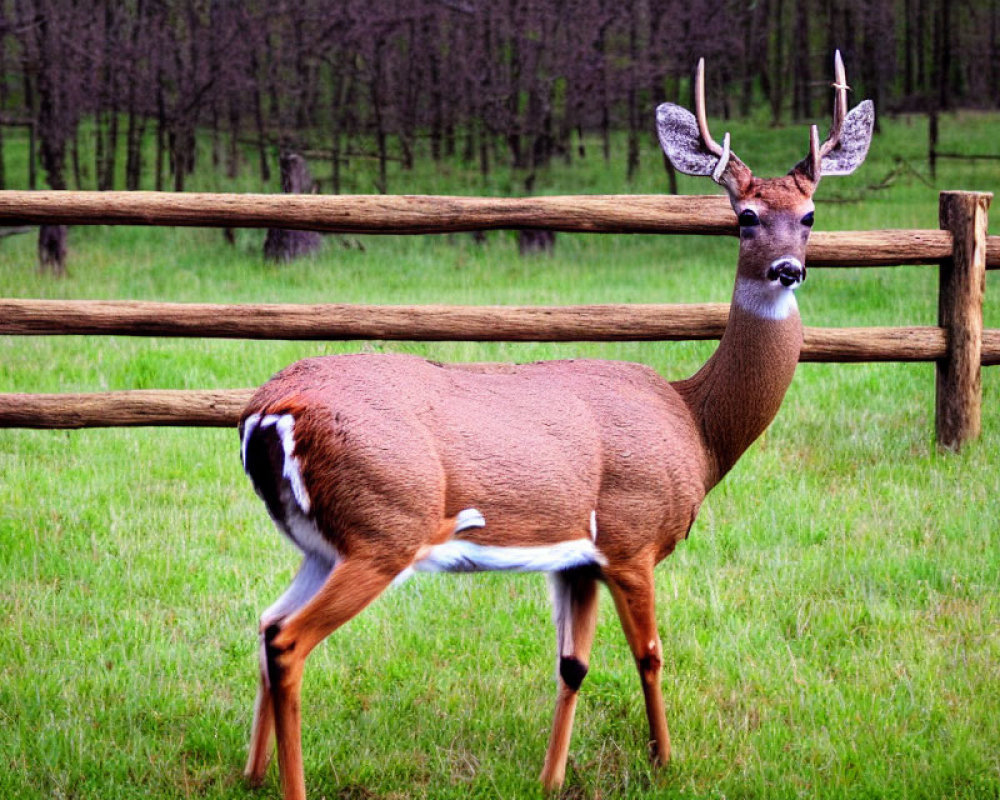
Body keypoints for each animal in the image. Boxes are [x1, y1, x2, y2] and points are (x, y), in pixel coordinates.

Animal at [238, 51, 872, 800]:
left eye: (810, 214)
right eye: (744, 216)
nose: (787, 268)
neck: (696, 426)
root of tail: (268, 413)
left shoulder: (578, 557)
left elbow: (573, 664)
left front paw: (551, 777)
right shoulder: (631, 535)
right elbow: (651, 653)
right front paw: (664, 759)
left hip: (320, 543)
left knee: (265, 623)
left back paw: (250, 772)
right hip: (384, 527)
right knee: (288, 640)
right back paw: (290, 784)